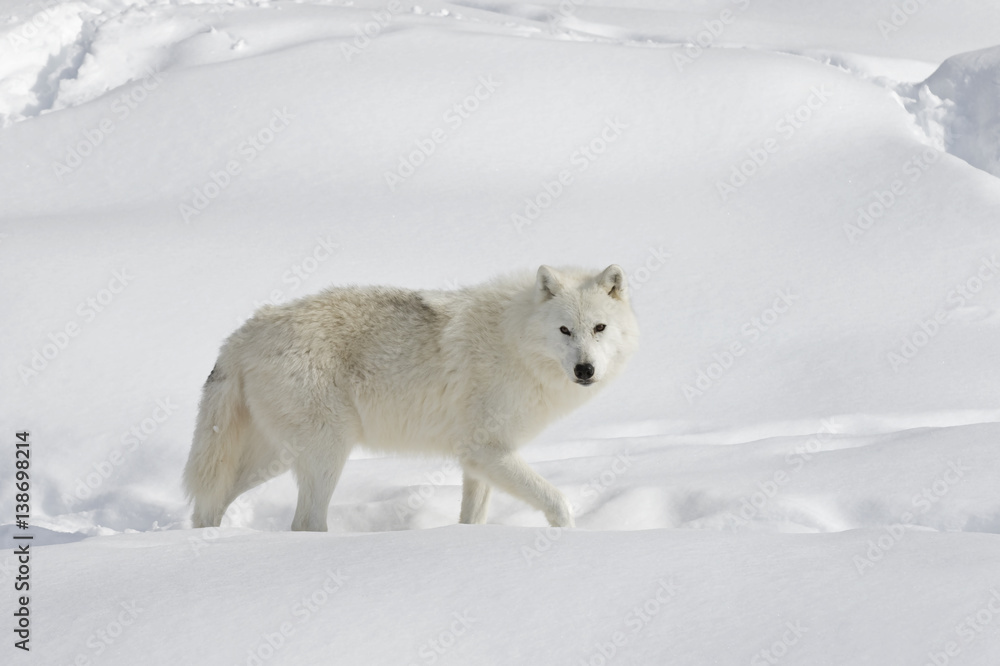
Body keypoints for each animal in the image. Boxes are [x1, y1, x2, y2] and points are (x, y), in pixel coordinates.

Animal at [184, 264, 639, 531]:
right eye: (565, 330)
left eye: (599, 328)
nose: (585, 370)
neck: (517, 344)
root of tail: (244, 332)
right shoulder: (486, 451)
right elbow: (560, 503)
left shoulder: (479, 462)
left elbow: (472, 518)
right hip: (327, 450)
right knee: (305, 524)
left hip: (272, 458)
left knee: (210, 503)